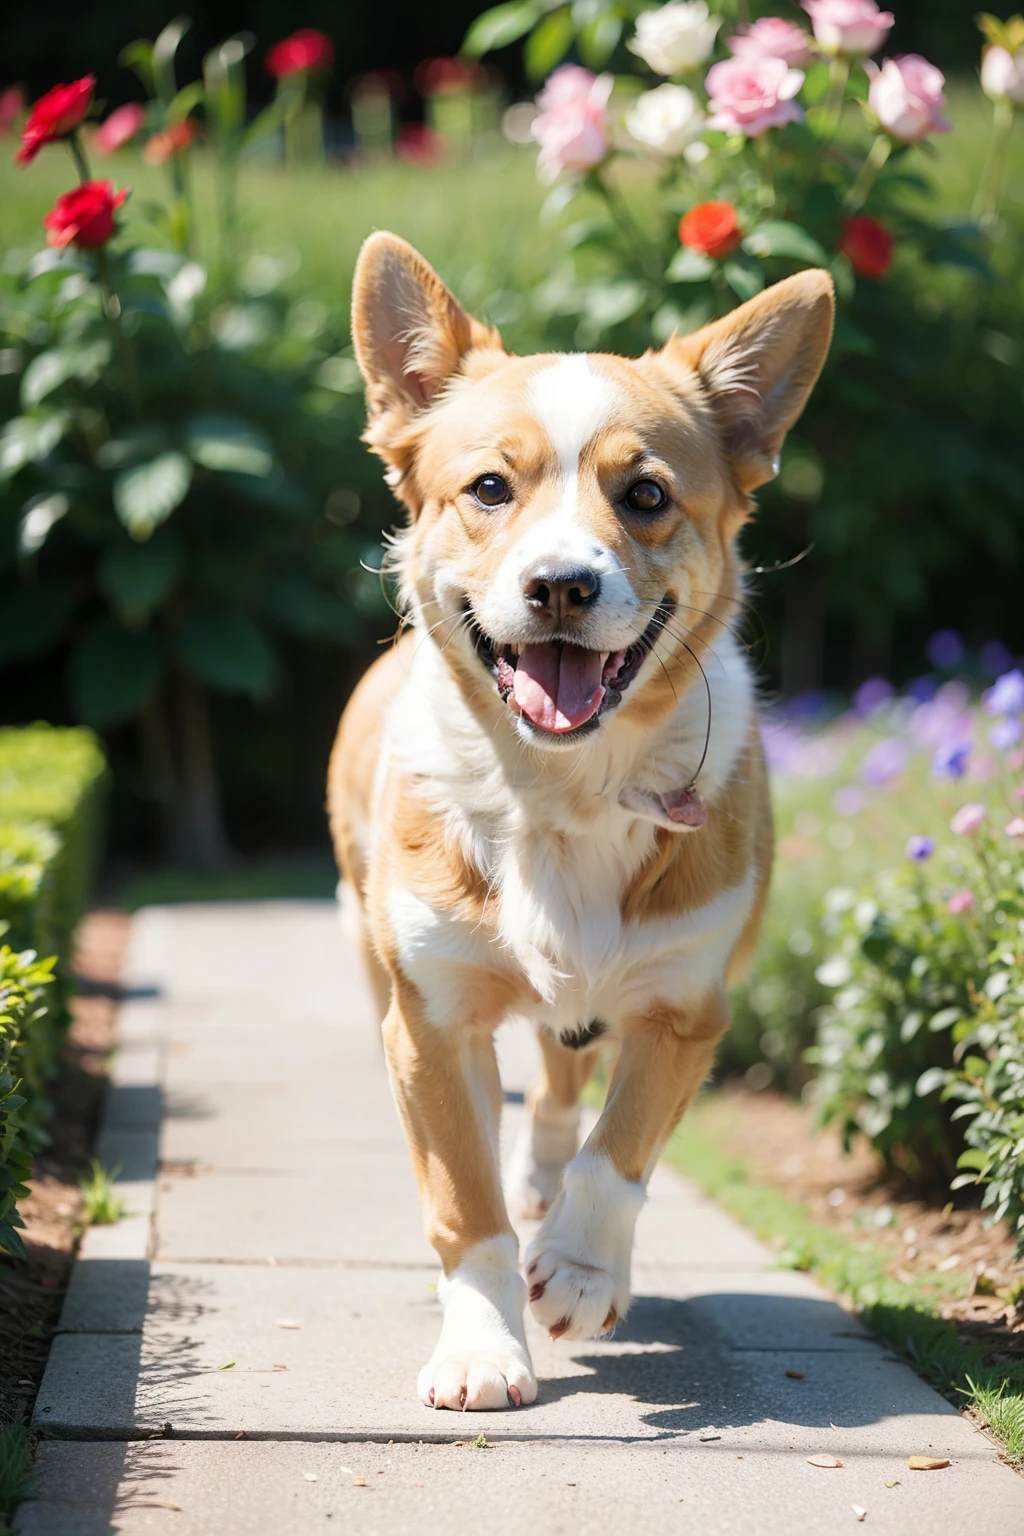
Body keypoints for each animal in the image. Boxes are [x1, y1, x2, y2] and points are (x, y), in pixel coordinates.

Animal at [328, 230, 835, 1413]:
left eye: (644, 493)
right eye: (488, 488)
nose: (560, 584)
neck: (560, 798)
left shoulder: (688, 1004)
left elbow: (623, 1147)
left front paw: (580, 1266)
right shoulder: (428, 1022)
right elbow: (463, 1204)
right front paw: (482, 1346)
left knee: (568, 1095)